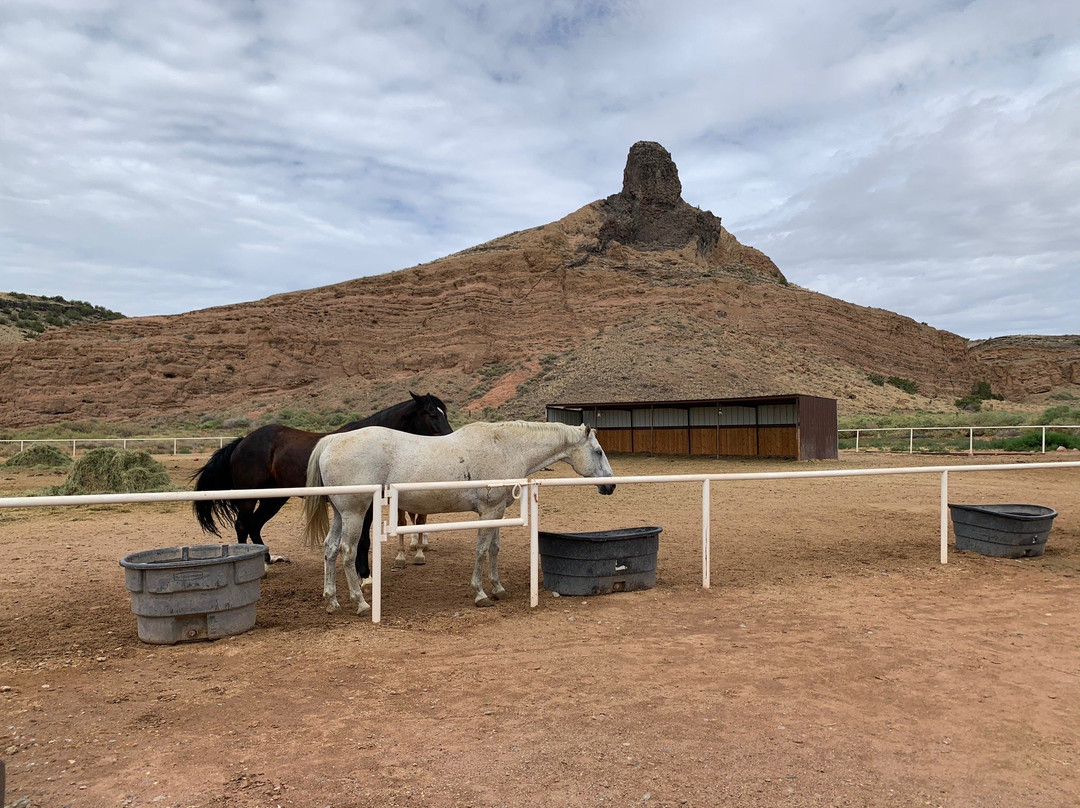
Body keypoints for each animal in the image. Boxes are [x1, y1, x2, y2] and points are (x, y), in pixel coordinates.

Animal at [190, 391, 451, 566]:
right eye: (431, 413)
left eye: (444, 412)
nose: (450, 436)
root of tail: (242, 441)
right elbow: (361, 541)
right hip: (248, 499)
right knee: (243, 525)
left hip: (273, 499)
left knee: (255, 525)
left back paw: (267, 561)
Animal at [300, 423, 617, 613]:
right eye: (598, 451)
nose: (611, 486)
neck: (504, 446)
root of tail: (332, 441)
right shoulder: (489, 511)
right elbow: (481, 550)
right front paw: (480, 594)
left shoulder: (498, 511)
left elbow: (494, 549)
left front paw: (498, 588)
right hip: (354, 513)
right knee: (347, 551)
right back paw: (361, 602)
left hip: (340, 514)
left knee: (330, 549)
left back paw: (332, 601)